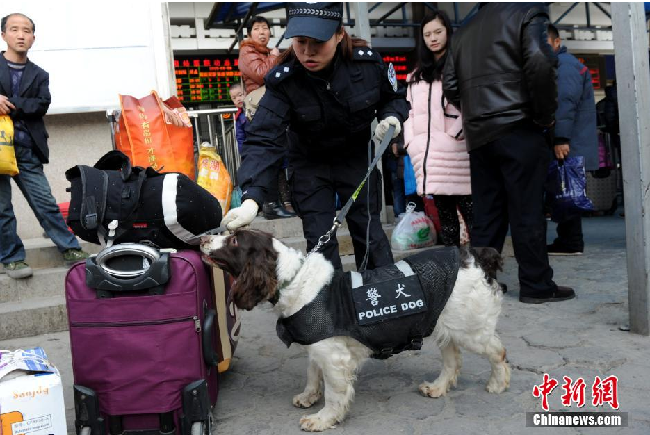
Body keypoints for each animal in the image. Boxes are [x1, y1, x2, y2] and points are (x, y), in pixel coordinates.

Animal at [201, 229, 510, 432]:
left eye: (234, 239)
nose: (202, 239)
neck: (293, 280)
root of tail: (474, 254)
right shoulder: (318, 344)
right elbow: (312, 373)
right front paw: (308, 397)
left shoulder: (334, 356)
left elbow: (335, 392)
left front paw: (323, 418)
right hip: (443, 322)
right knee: (453, 360)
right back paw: (437, 387)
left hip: (471, 328)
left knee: (498, 352)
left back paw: (498, 383)